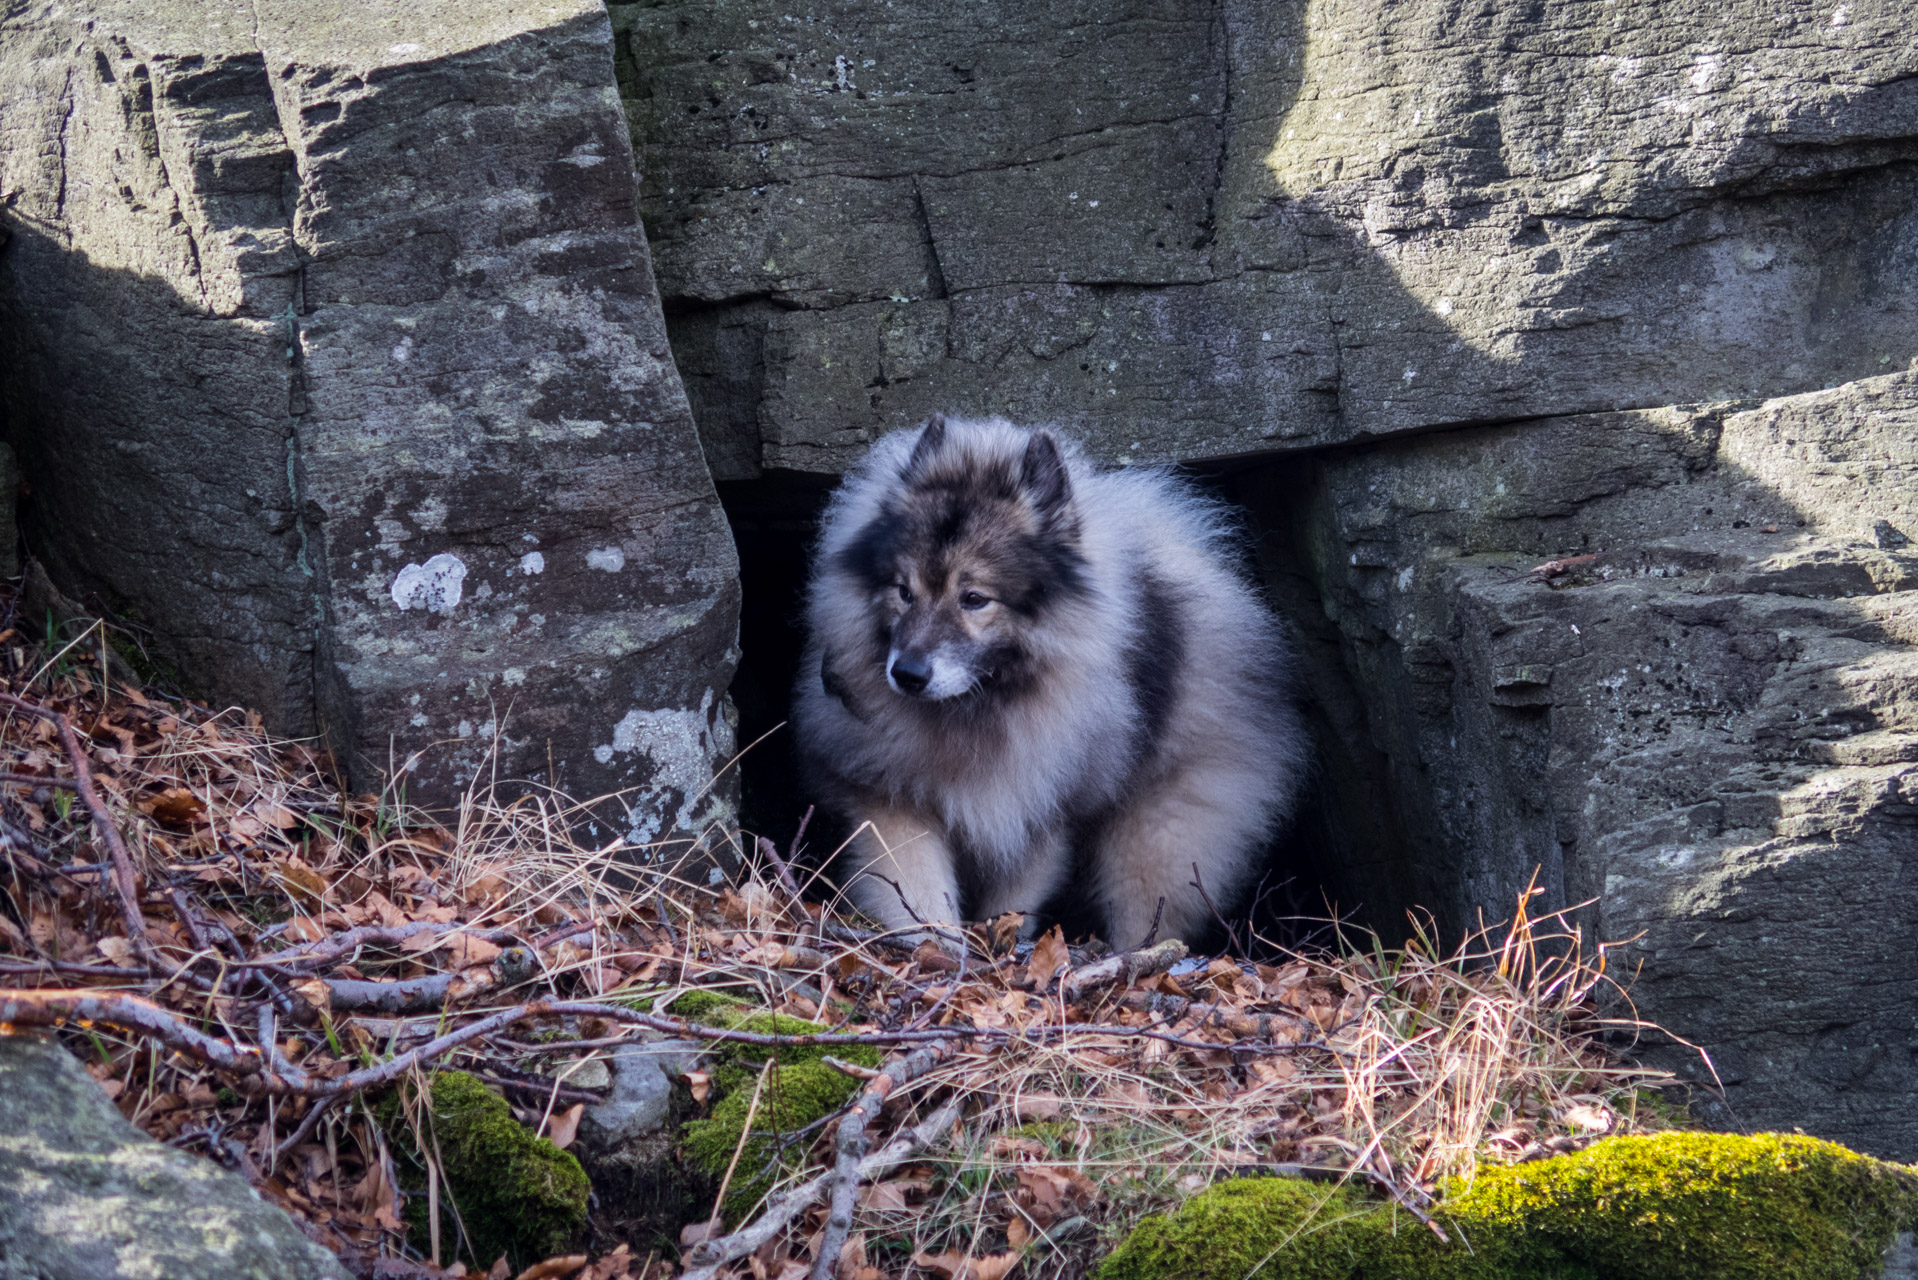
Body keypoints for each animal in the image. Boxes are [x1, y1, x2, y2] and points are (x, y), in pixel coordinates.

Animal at [790, 416, 1304, 948]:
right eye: (903, 591)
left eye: (974, 598)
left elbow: (1011, 905)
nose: (907, 675)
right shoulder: (893, 799)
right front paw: (938, 949)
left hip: (1159, 835)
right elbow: (918, 890)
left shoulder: (1038, 818)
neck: (977, 706)